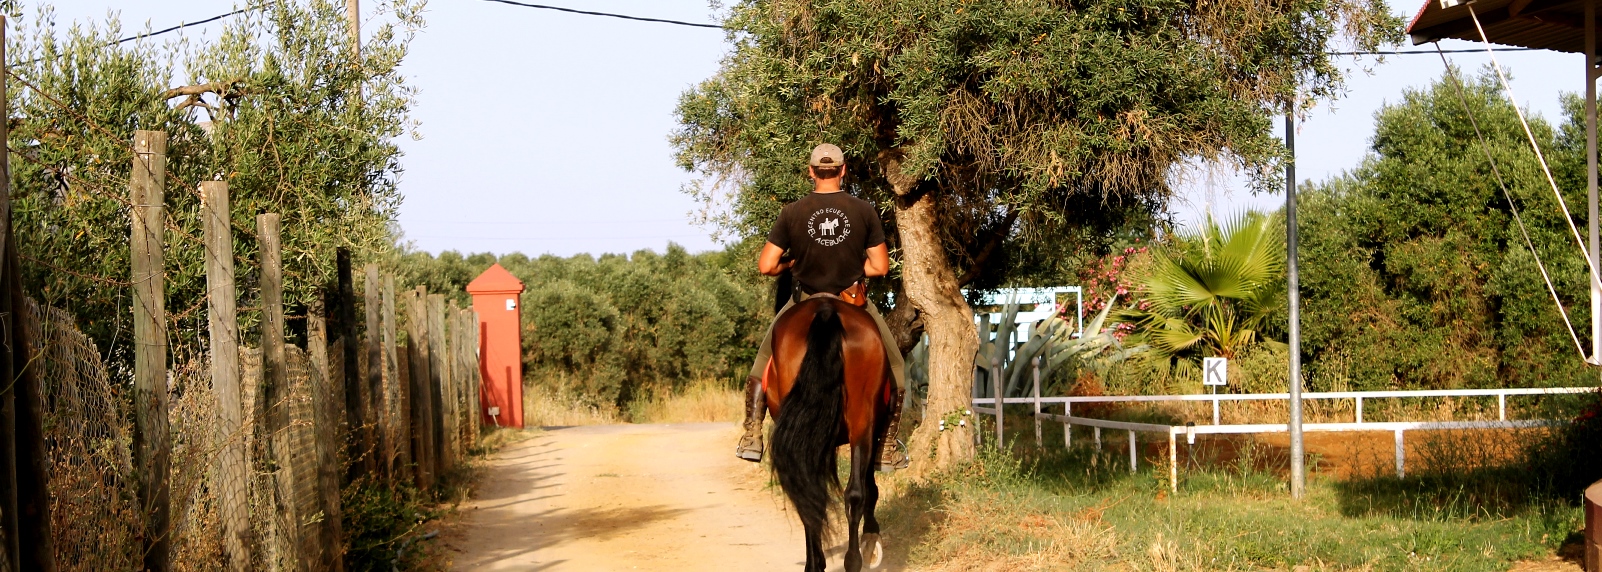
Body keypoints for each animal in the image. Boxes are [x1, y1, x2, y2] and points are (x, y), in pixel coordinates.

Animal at [765, 283, 897, 570]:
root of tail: (826, 310)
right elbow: (867, 487)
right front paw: (871, 538)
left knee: (815, 494)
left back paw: (828, 562)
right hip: (860, 422)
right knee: (852, 493)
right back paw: (852, 560)